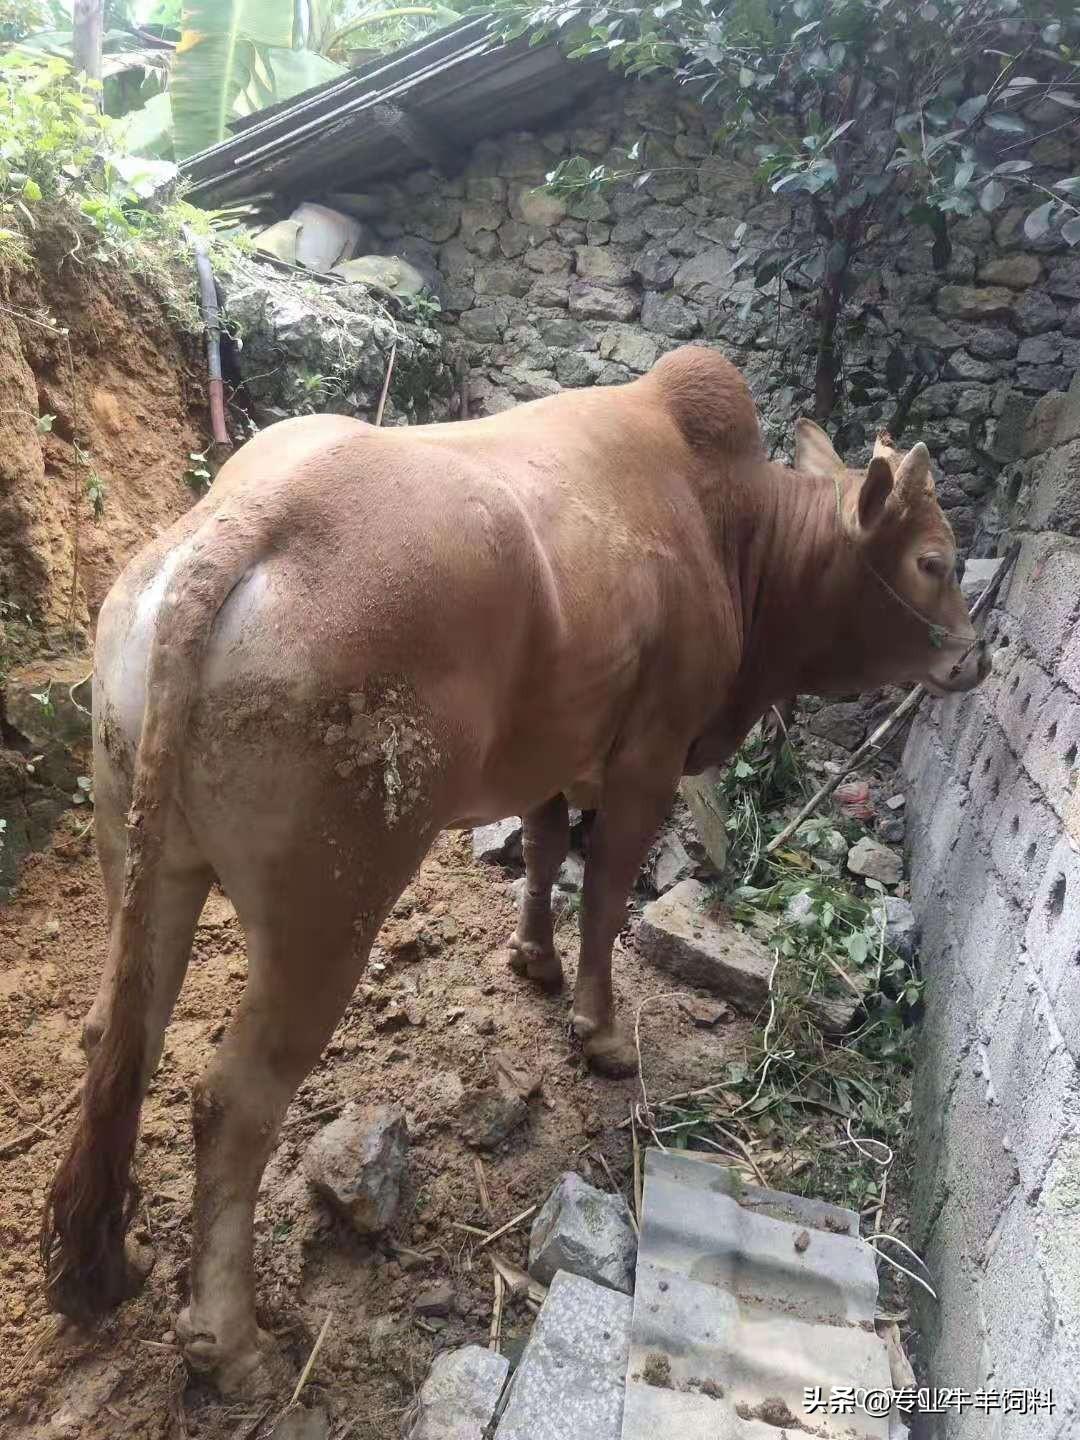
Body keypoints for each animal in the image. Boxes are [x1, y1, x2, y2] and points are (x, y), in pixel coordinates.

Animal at [40, 345, 990, 1393]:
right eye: (935, 562)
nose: (977, 658)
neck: (734, 531)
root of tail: (239, 526)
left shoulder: (552, 750)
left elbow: (540, 850)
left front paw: (532, 960)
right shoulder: (648, 758)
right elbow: (606, 895)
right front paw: (600, 1028)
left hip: (143, 859)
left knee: (114, 1038)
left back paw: (115, 1258)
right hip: (327, 912)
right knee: (233, 1099)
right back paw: (230, 1338)